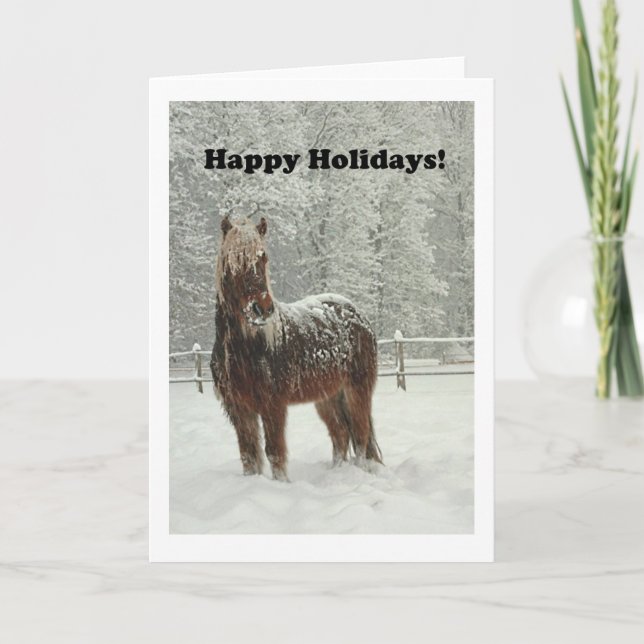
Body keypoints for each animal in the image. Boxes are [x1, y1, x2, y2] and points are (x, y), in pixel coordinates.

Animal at [210, 215, 382, 481]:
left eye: (264, 258)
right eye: (234, 258)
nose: (262, 308)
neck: (247, 350)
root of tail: (356, 313)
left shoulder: (272, 406)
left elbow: (274, 453)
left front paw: (281, 484)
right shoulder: (238, 409)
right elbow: (248, 455)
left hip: (356, 390)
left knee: (361, 435)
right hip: (328, 396)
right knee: (341, 434)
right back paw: (337, 472)